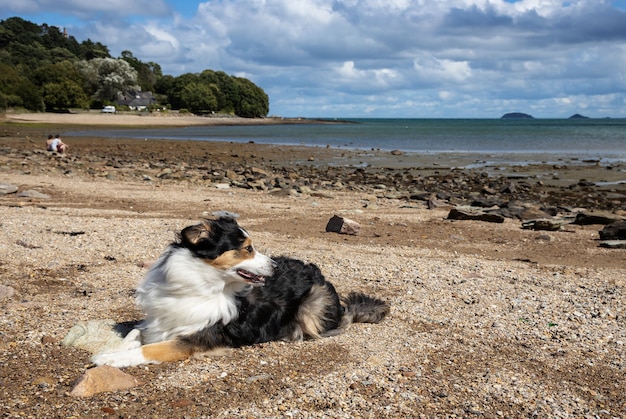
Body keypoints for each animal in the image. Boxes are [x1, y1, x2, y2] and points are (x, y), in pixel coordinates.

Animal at [92, 217, 388, 368]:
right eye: (247, 248)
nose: (275, 266)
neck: (202, 283)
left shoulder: (198, 336)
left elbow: (151, 349)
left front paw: (109, 358)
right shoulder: (160, 319)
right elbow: (135, 332)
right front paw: (114, 349)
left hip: (314, 302)